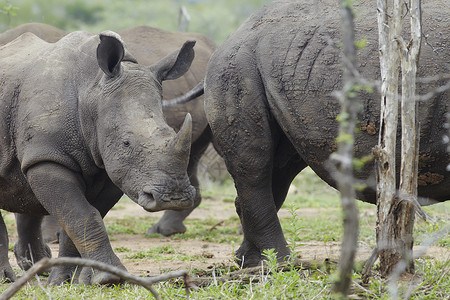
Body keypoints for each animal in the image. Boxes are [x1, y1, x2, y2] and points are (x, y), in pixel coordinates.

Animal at [0, 29, 197, 284]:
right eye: (126, 143)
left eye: (172, 133)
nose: (174, 198)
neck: (91, 91)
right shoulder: (48, 157)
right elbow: (83, 215)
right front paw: (109, 278)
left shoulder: (111, 168)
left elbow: (80, 220)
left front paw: (70, 280)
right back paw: (9, 278)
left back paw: (37, 270)